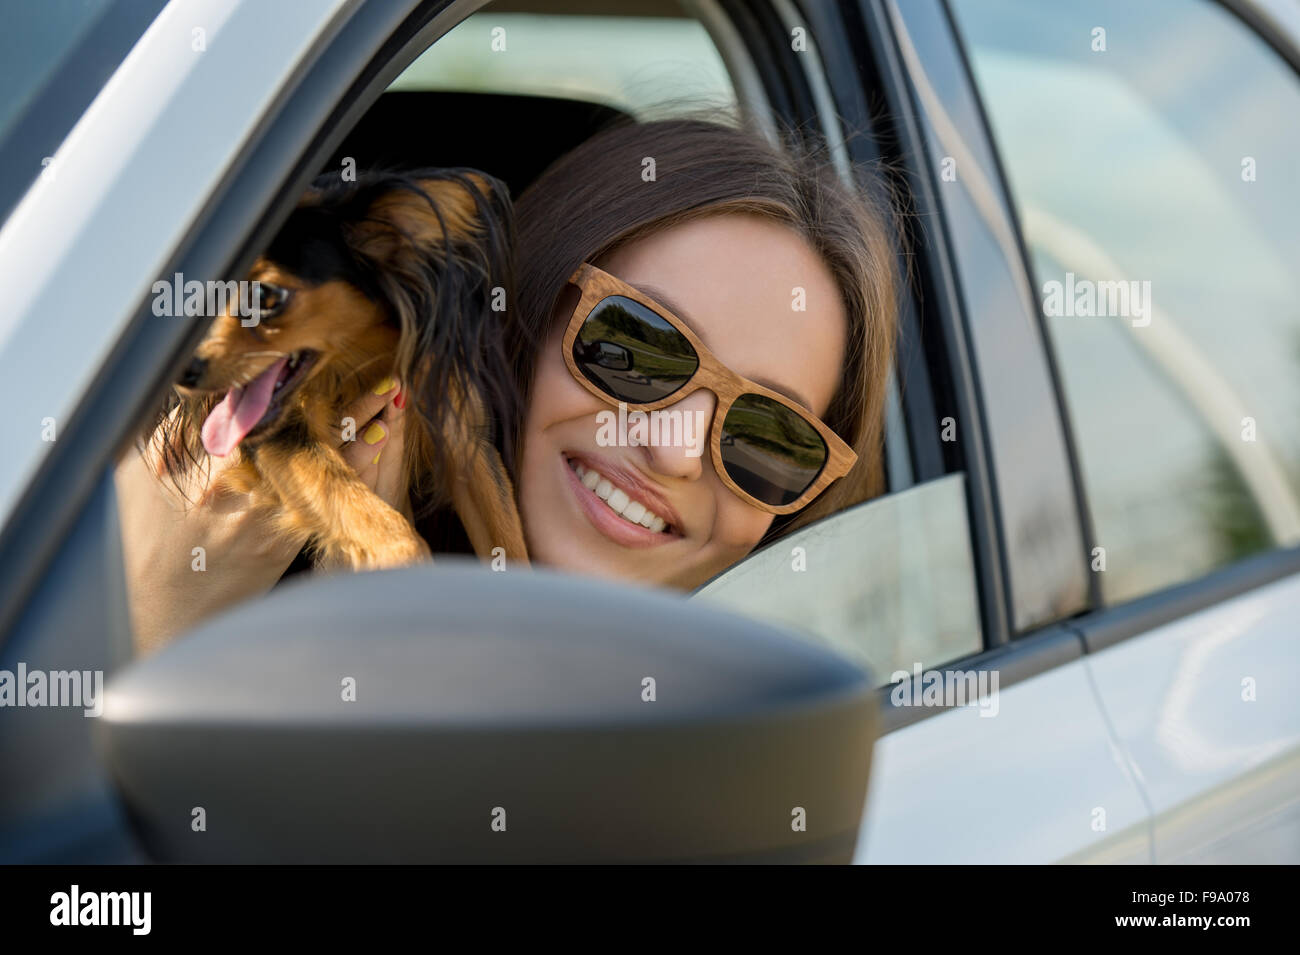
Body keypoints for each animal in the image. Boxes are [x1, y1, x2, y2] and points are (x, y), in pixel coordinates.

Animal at [156, 167, 527, 571]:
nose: (176, 372)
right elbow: (390, 530)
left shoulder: (467, 446)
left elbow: (510, 544)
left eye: (265, 296)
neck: (353, 366)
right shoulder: (280, 441)